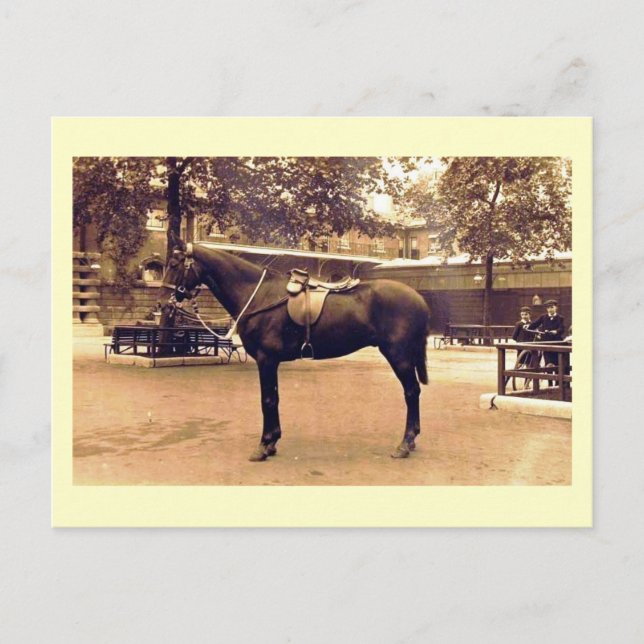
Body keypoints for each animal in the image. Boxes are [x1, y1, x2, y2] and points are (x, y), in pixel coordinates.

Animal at [160, 235, 431, 462]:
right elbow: (274, 398)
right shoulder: (270, 361)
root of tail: (418, 298)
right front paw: (272, 443)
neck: (259, 295)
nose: (163, 303)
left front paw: (263, 446)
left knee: (411, 392)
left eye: (174, 264)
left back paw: (405, 444)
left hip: (398, 355)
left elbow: (267, 399)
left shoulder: (266, 359)